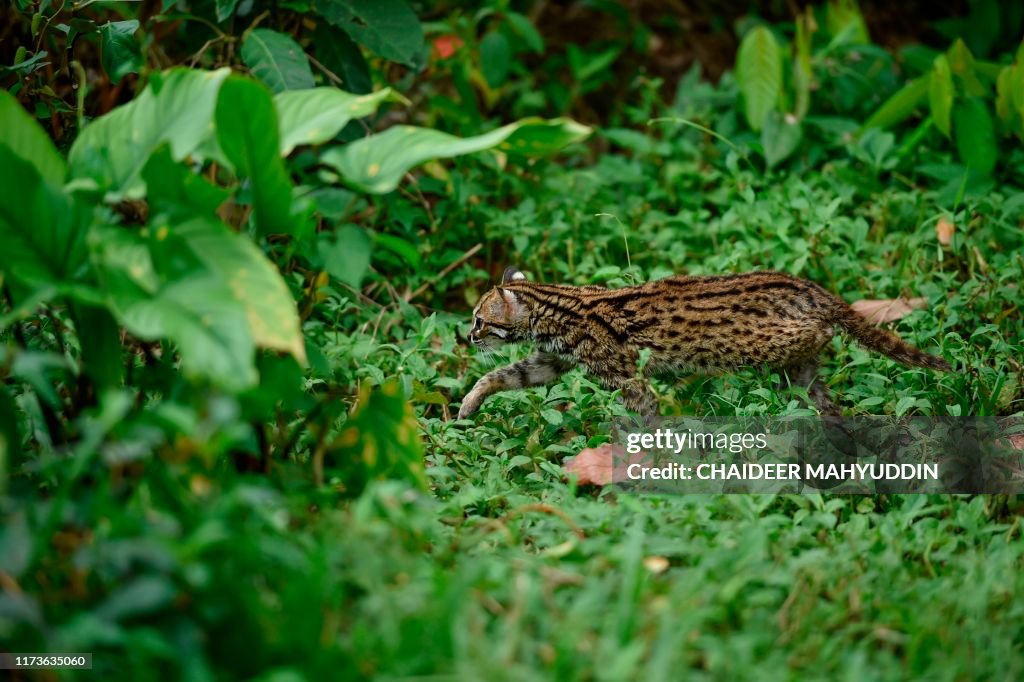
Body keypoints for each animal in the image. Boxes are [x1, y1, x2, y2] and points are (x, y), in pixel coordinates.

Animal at [458, 266, 950, 419]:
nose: (467, 337)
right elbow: (504, 375)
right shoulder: (551, 362)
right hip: (802, 374)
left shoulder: (623, 374)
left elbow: (645, 411)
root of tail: (812, 289)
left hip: (755, 343)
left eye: (480, 320)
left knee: (817, 335)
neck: (556, 304)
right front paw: (468, 403)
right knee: (821, 395)